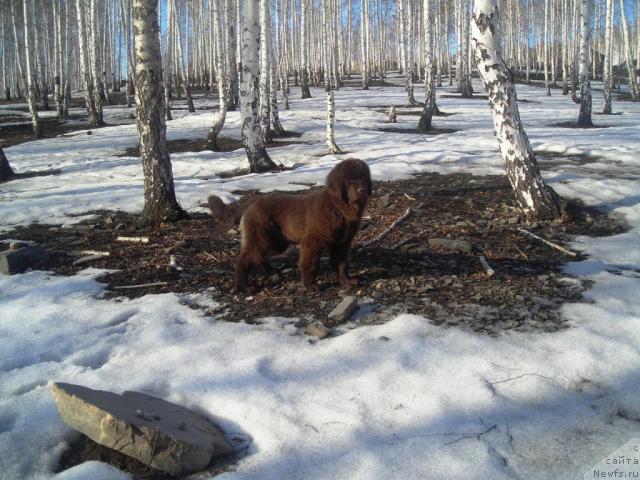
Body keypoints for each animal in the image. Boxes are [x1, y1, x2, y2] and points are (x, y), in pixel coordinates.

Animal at [208, 159, 372, 290]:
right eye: (350, 180)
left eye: (364, 178)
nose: (362, 190)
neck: (338, 208)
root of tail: (252, 202)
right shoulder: (311, 242)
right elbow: (310, 264)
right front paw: (310, 286)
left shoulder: (342, 243)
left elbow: (342, 264)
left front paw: (346, 282)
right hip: (262, 237)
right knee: (245, 259)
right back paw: (244, 287)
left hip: (276, 242)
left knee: (257, 257)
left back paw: (270, 271)